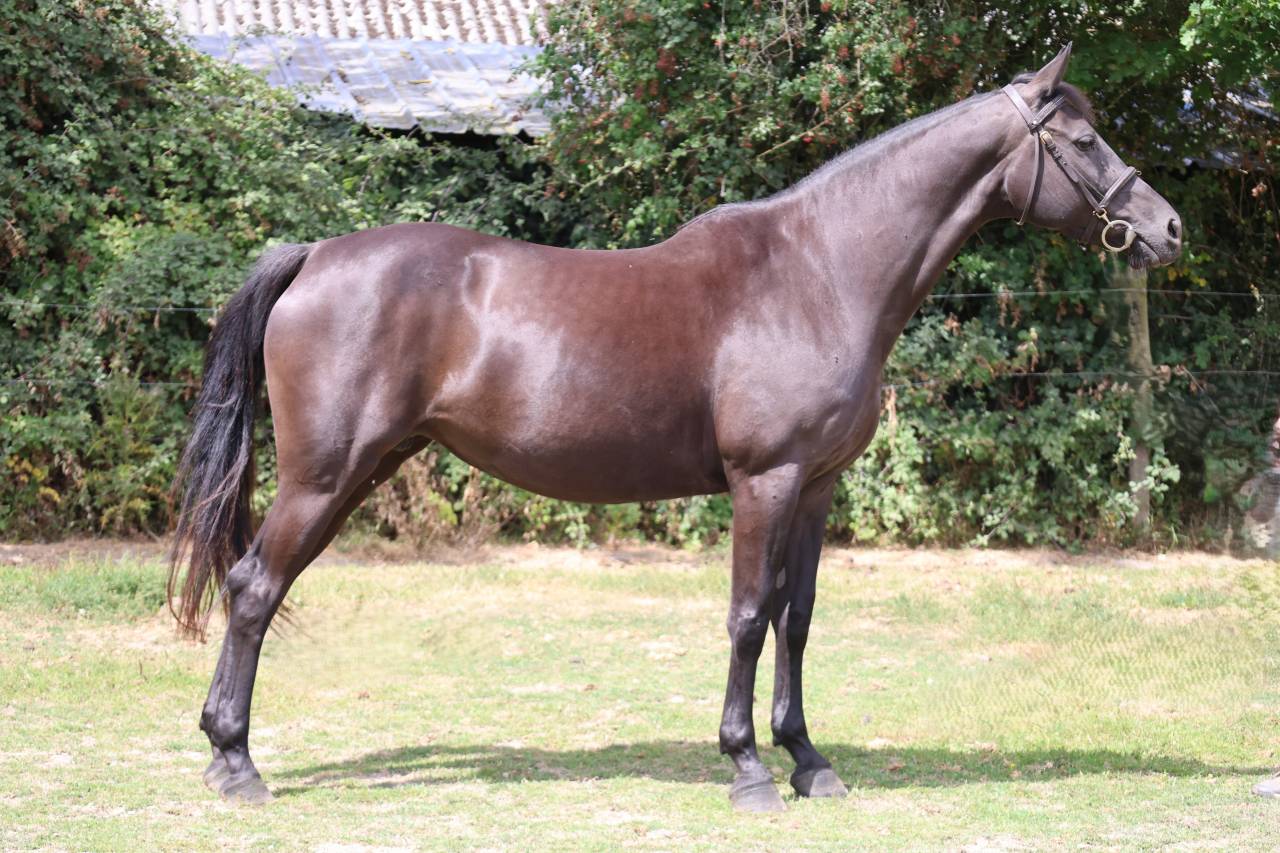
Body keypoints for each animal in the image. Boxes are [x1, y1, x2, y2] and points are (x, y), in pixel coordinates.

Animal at [170, 45, 1183, 812]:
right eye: (1084, 141)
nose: (1168, 228)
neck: (818, 271)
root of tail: (313, 258)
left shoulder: (816, 486)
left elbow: (796, 618)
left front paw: (808, 760)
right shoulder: (763, 480)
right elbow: (747, 617)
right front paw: (747, 768)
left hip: (362, 470)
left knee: (255, 587)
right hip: (324, 476)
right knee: (254, 589)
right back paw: (236, 762)